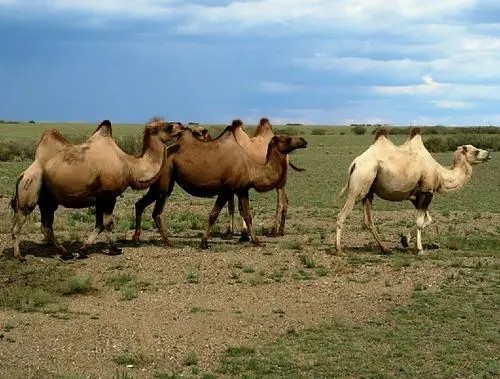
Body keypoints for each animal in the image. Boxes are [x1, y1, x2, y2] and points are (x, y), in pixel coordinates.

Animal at [7, 119, 185, 262]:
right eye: (169, 126)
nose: (182, 126)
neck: (129, 166)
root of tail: (23, 174)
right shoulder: (109, 195)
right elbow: (108, 223)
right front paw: (114, 249)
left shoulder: (100, 198)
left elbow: (99, 224)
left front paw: (82, 250)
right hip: (31, 188)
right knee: (18, 224)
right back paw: (20, 257)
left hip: (47, 199)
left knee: (46, 226)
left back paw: (65, 253)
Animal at [131, 119, 306, 249]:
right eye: (287, 139)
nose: (304, 141)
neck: (252, 167)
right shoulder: (226, 189)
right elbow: (213, 214)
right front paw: (204, 242)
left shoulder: (242, 190)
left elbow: (248, 215)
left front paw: (256, 241)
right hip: (165, 182)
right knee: (156, 212)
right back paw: (168, 242)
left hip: (158, 184)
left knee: (140, 204)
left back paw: (137, 239)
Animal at [336, 127, 492, 255]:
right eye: (476, 151)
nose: (488, 154)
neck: (440, 174)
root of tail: (354, 164)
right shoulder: (427, 191)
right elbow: (420, 221)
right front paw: (419, 249)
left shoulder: (414, 195)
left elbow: (427, 219)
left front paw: (405, 240)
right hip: (360, 184)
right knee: (342, 214)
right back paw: (339, 250)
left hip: (368, 191)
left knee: (368, 221)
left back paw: (385, 249)